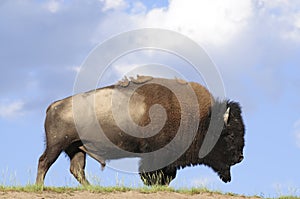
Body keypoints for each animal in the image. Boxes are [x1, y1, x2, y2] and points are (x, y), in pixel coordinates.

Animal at [36, 76, 245, 187]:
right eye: (230, 135)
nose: (240, 157)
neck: (200, 118)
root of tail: (53, 106)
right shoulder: (155, 154)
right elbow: (152, 173)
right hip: (57, 145)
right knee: (44, 162)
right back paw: (39, 186)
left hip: (76, 148)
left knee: (77, 169)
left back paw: (92, 187)